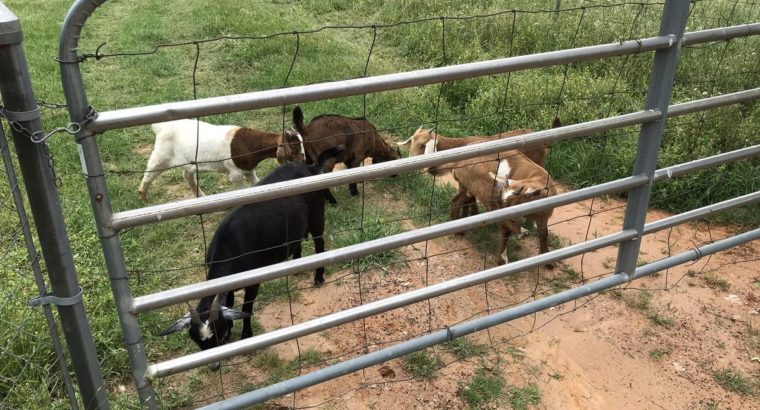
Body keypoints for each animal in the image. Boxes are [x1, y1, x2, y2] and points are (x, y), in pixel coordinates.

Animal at [138, 119, 300, 199]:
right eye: (294, 149)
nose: (304, 162)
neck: (249, 143)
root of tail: (161, 126)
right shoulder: (235, 174)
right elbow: (243, 189)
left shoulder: (248, 169)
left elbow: (257, 184)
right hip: (162, 154)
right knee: (150, 171)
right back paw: (143, 193)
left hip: (189, 160)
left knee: (187, 174)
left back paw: (201, 196)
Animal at [159, 146, 344, 362]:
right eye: (196, 340)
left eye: (218, 335)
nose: (214, 366)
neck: (229, 246)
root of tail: (311, 168)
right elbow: (229, 301)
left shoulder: (253, 281)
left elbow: (246, 308)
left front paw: (246, 335)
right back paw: (296, 267)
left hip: (317, 216)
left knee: (319, 243)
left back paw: (318, 276)